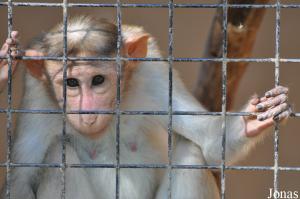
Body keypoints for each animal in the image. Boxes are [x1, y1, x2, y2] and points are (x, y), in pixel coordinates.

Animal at [0, 15, 290, 199]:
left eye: (98, 80)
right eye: (71, 83)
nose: (87, 110)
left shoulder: (152, 70)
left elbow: (210, 142)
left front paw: (252, 119)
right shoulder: (37, 99)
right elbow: (19, 184)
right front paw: (4, 68)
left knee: (190, 151)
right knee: (58, 156)